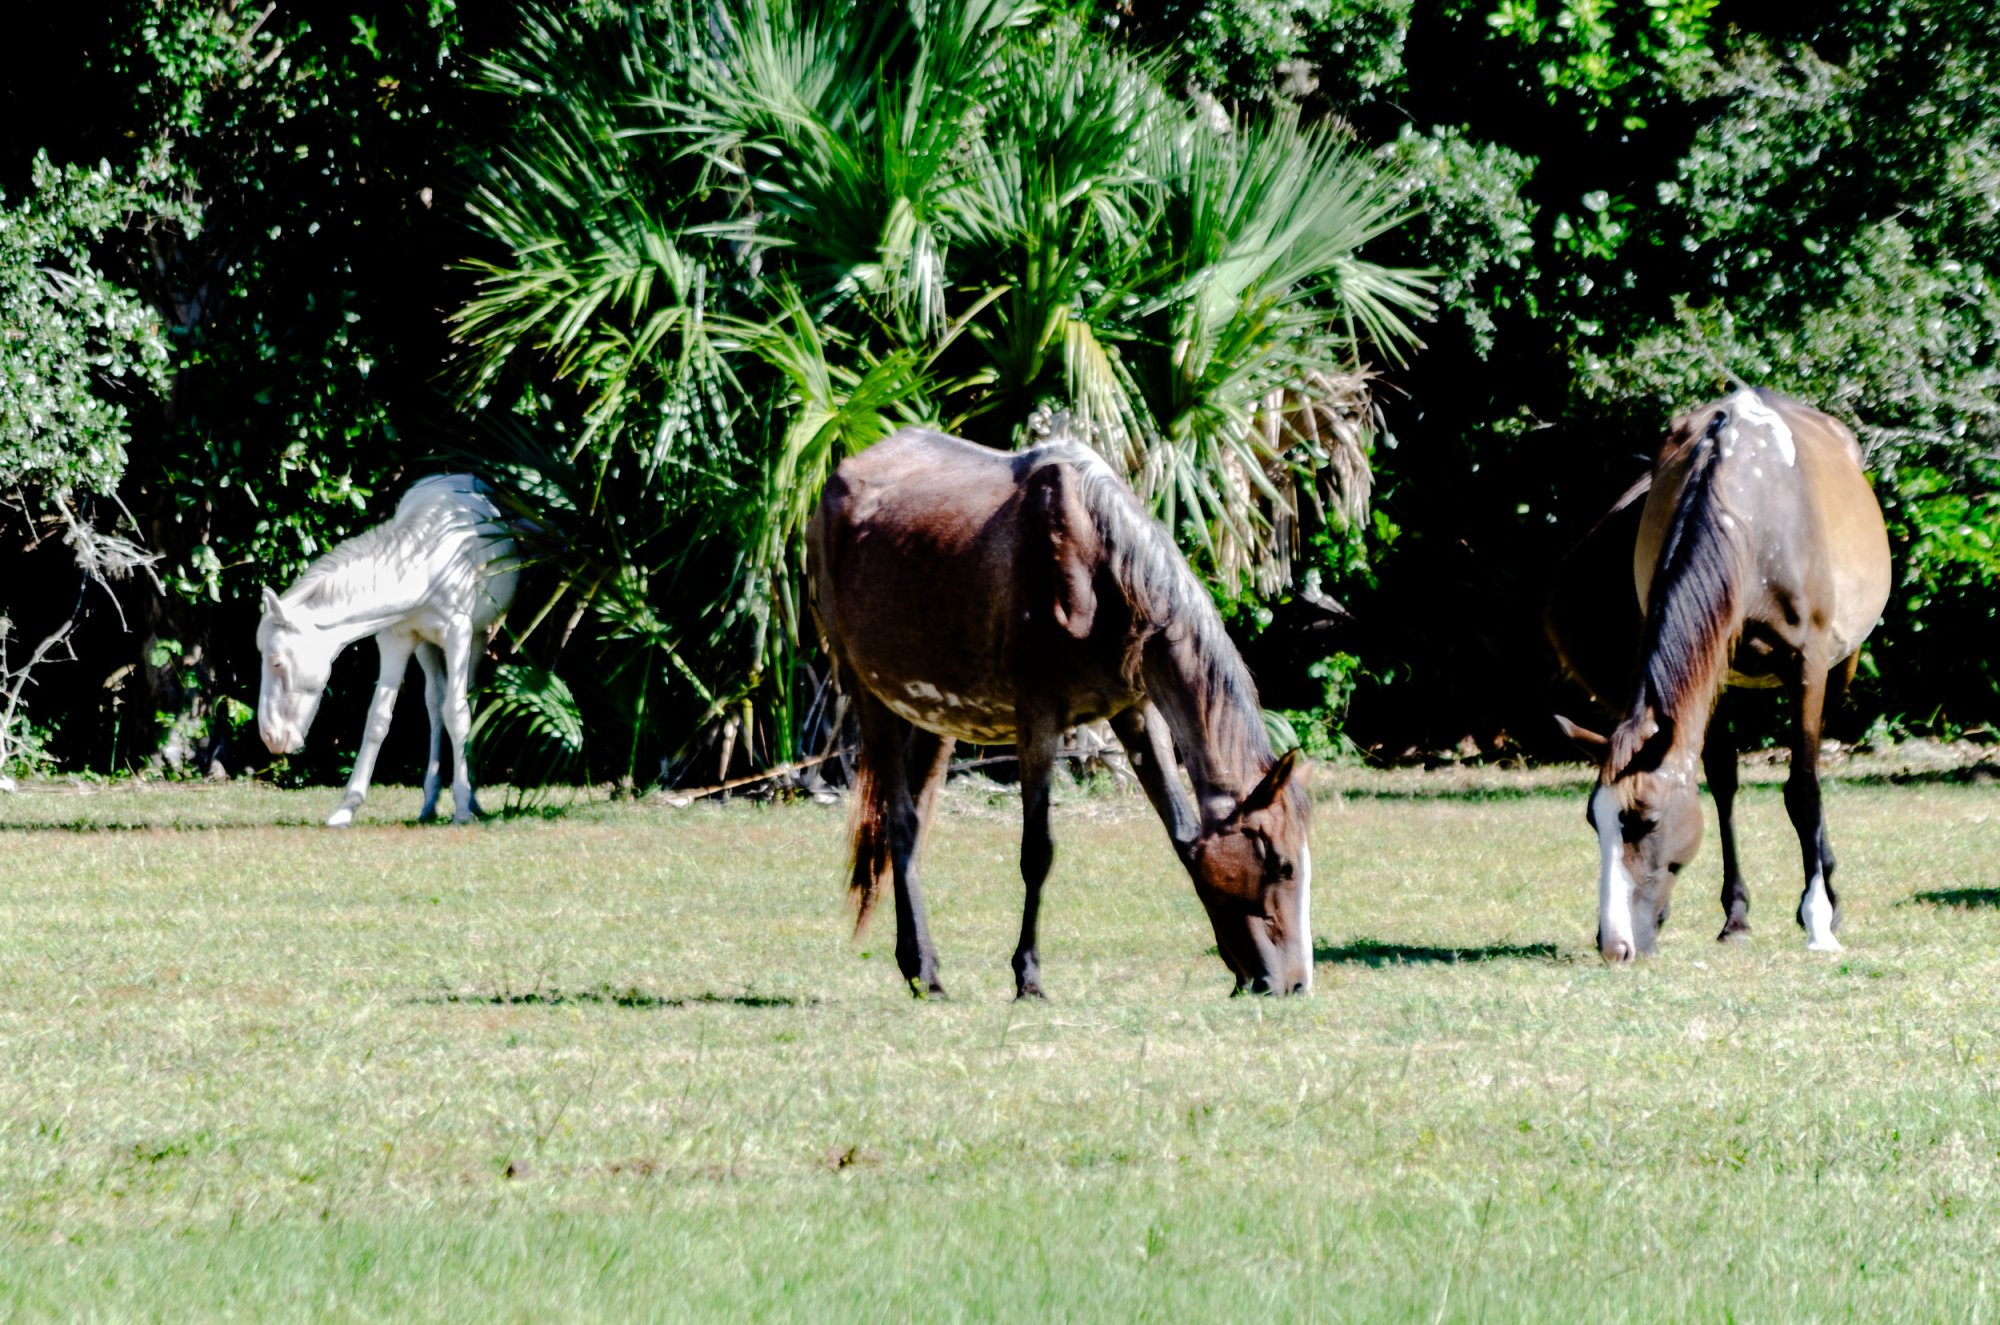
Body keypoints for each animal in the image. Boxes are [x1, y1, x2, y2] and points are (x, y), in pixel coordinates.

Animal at [258, 478, 520, 832]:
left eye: (276, 662)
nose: (271, 736)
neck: (425, 565)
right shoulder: (396, 641)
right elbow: (378, 720)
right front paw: (347, 808)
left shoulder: (459, 633)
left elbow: (458, 714)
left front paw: (463, 808)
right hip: (425, 646)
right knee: (435, 705)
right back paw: (429, 803)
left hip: (479, 637)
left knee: (466, 700)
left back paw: (472, 798)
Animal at [804, 426, 1320, 996]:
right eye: (1282, 866)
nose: (1296, 984)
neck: (1098, 566)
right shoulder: (1038, 717)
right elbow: (1037, 852)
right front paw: (1027, 976)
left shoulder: (1136, 712)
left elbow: (1183, 834)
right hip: (868, 694)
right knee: (899, 821)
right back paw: (925, 970)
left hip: (934, 715)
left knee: (912, 827)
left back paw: (917, 965)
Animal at [1544, 390, 1888, 960]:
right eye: (1595, 823)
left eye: (1646, 821)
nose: (1614, 945)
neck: (1748, 515)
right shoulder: (1714, 663)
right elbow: (1723, 783)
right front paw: (1737, 916)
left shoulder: (1808, 668)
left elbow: (1804, 790)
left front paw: (1819, 920)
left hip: (1842, 665)